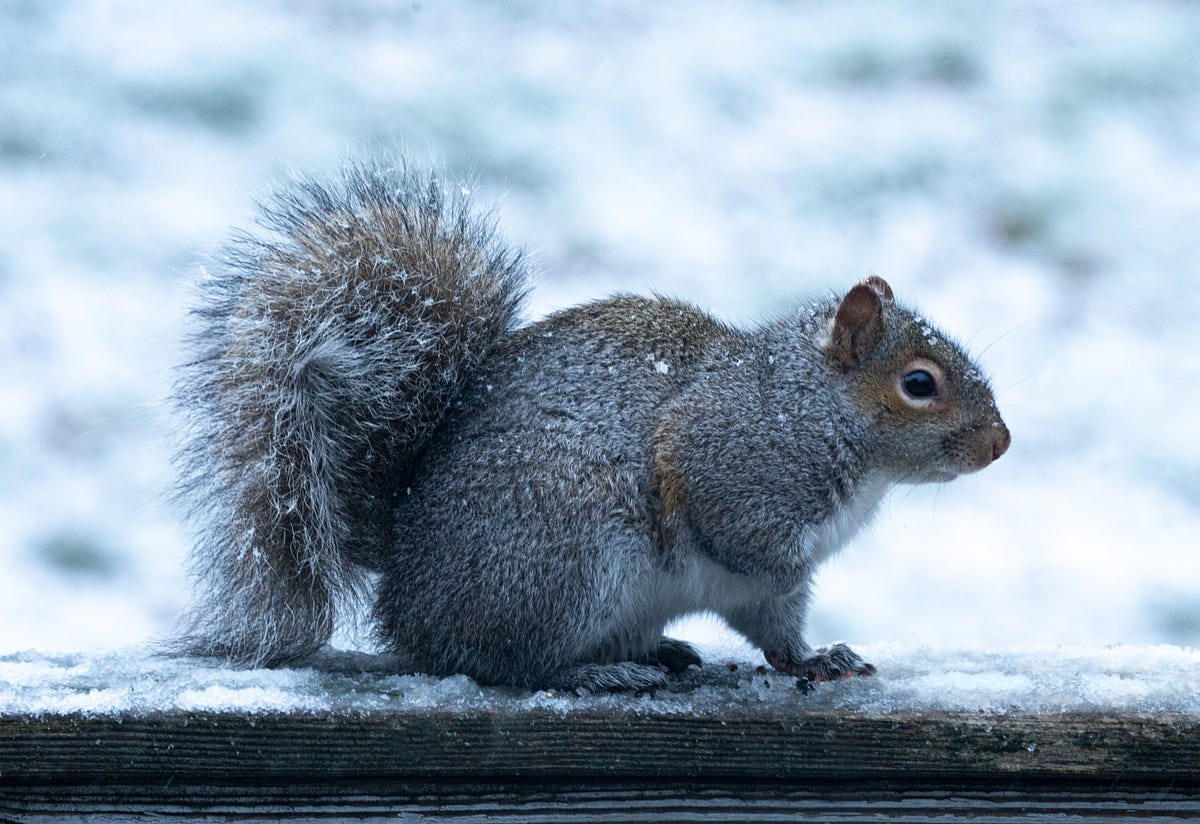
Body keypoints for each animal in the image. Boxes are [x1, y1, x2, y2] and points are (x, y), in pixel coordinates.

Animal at [174, 159, 1010, 693]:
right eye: (919, 384)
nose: (1000, 444)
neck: (815, 408)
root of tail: (406, 592)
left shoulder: (768, 586)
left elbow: (776, 626)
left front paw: (813, 660)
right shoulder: (734, 462)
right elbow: (738, 544)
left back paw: (660, 650)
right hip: (567, 555)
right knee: (504, 664)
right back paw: (601, 671)